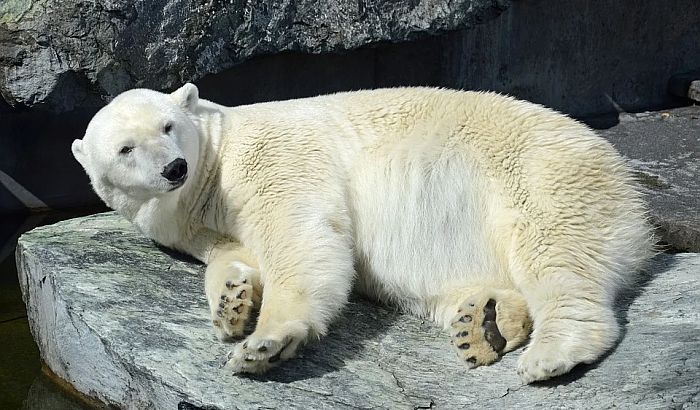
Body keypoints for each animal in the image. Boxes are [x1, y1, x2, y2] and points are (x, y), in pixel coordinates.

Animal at [69, 84, 652, 384]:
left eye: (168, 126)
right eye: (125, 148)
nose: (174, 168)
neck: (212, 164)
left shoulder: (272, 159)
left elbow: (299, 235)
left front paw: (264, 345)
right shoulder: (196, 221)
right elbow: (231, 252)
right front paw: (232, 304)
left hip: (542, 177)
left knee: (555, 253)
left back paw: (551, 352)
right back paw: (482, 323)